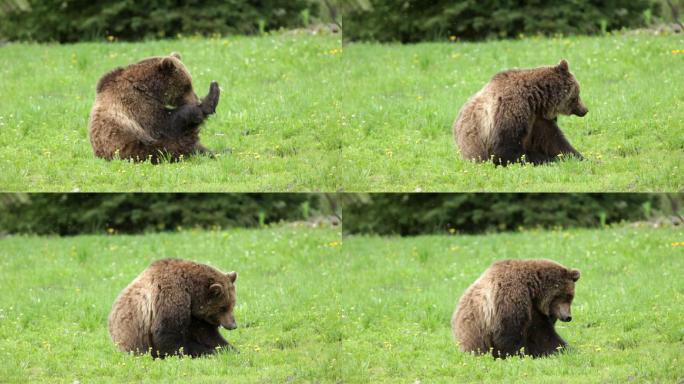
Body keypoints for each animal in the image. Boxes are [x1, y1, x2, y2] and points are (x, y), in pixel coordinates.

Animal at [87, 52, 218, 162]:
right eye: (186, 86)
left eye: (190, 84)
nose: (196, 101)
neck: (148, 88)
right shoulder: (136, 103)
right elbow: (163, 123)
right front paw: (197, 110)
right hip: (130, 147)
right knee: (170, 148)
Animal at [109, 258, 238, 356]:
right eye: (223, 307)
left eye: (232, 304)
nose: (233, 325)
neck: (191, 292)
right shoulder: (171, 296)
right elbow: (168, 336)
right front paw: (207, 351)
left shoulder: (195, 315)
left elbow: (206, 333)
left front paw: (229, 348)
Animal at [452, 260, 580, 358]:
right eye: (562, 296)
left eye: (570, 297)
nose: (568, 317)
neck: (533, 291)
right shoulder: (511, 297)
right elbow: (509, 333)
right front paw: (519, 354)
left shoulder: (535, 311)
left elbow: (543, 334)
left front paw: (564, 349)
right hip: (476, 333)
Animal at [454, 59, 588, 165]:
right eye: (577, 94)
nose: (585, 110)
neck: (536, 101)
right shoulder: (510, 112)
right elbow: (505, 150)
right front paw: (547, 159)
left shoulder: (538, 120)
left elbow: (555, 141)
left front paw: (580, 157)